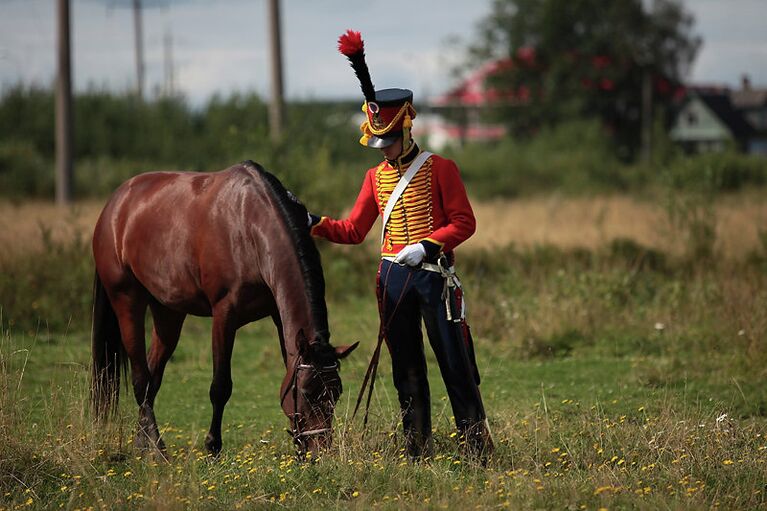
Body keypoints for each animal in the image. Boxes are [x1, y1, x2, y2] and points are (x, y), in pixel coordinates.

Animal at [89, 160, 356, 456]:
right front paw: (213, 447)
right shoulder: (224, 315)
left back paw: (143, 445)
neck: (249, 226)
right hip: (127, 301)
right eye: (308, 392)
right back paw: (158, 451)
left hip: (168, 311)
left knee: (152, 377)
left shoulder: (278, 314)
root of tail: (116, 203)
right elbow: (220, 387)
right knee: (141, 379)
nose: (321, 451)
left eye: (336, 393)